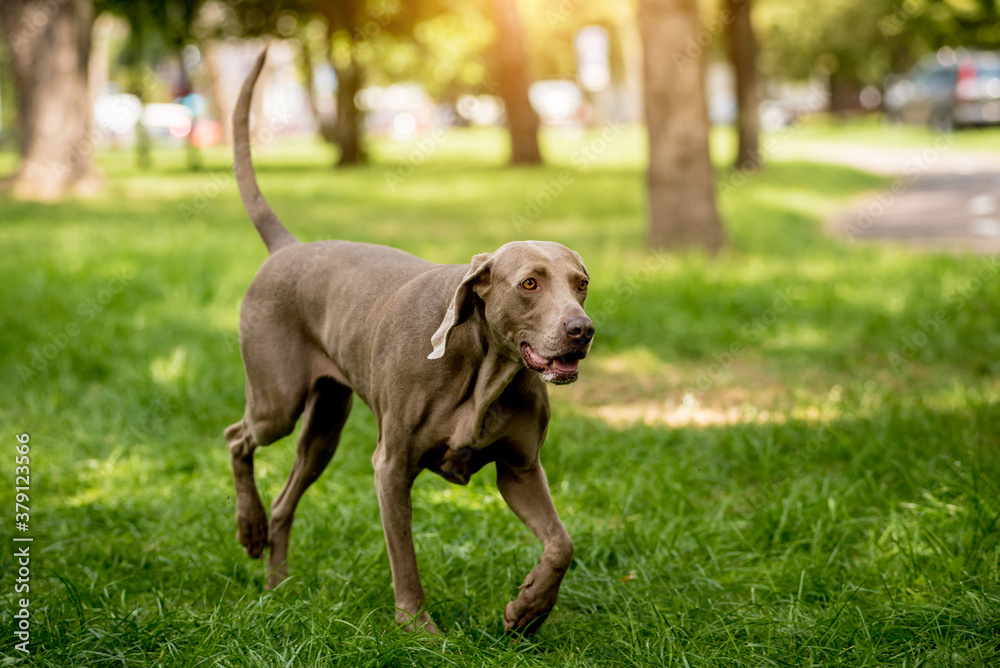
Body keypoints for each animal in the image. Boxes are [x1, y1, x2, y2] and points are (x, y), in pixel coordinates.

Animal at [227, 49, 592, 636]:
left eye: (581, 283)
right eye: (530, 284)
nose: (582, 330)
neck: (483, 367)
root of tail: (287, 248)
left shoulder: (519, 469)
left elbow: (562, 544)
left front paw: (529, 609)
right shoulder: (391, 465)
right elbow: (405, 556)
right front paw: (418, 628)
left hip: (324, 426)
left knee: (286, 498)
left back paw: (277, 586)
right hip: (276, 401)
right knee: (237, 438)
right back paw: (249, 528)